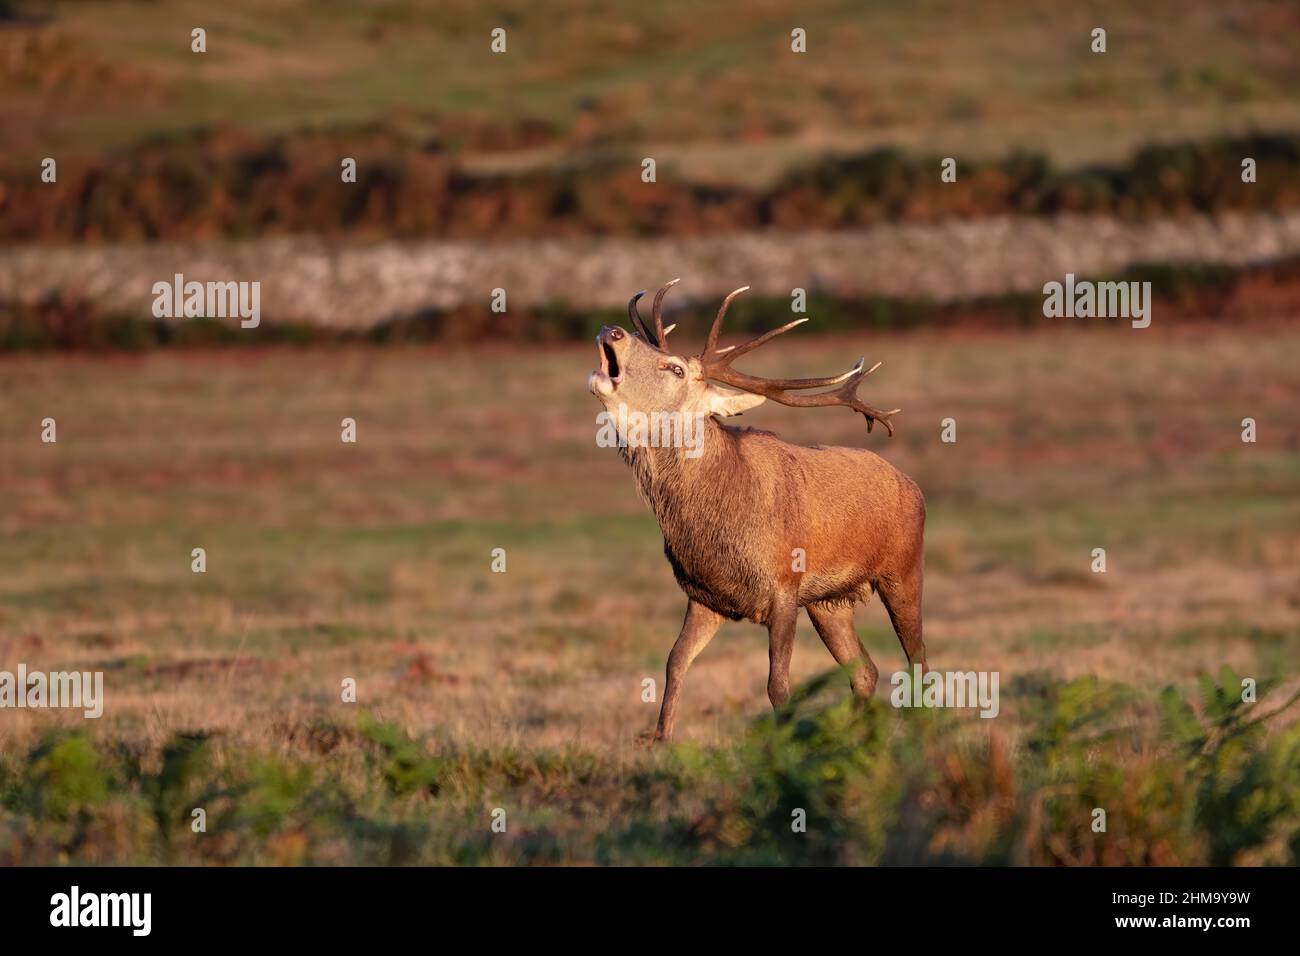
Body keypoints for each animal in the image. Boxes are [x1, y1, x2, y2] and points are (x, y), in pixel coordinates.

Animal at [588, 279, 928, 741]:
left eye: (675, 369)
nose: (612, 330)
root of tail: (913, 486)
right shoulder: (703, 595)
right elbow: (675, 663)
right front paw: (659, 740)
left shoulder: (784, 586)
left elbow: (777, 685)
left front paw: (785, 744)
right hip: (829, 602)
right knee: (866, 671)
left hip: (903, 569)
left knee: (918, 660)